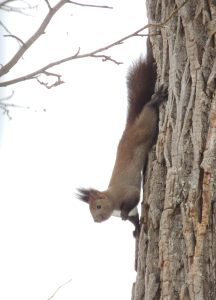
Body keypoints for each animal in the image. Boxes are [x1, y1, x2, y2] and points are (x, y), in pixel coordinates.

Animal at [77, 38, 168, 237]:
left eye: (98, 206)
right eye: (89, 211)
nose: (95, 221)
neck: (113, 200)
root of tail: (129, 128)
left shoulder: (129, 193)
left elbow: (133, 200)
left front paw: (127, 217)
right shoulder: (131, 209)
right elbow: (134, 218)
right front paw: (136, 229)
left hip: (145, 126)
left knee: (149, 109)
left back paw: (156, 99)